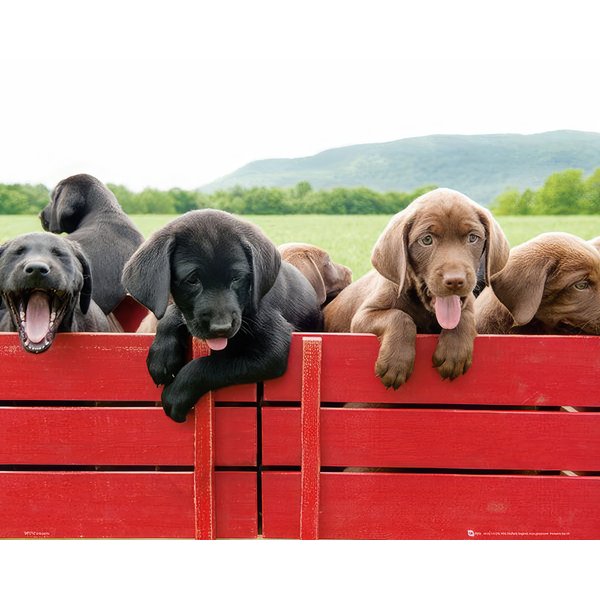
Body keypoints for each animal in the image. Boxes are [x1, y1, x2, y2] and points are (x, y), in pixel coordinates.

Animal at [121, 210, 324, 422]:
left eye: (237, 278)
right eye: (192, 280)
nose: (222, 328)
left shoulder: (271, 352)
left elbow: (210, 365)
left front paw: (175, 395)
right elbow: (172, 312)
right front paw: (162, 356)